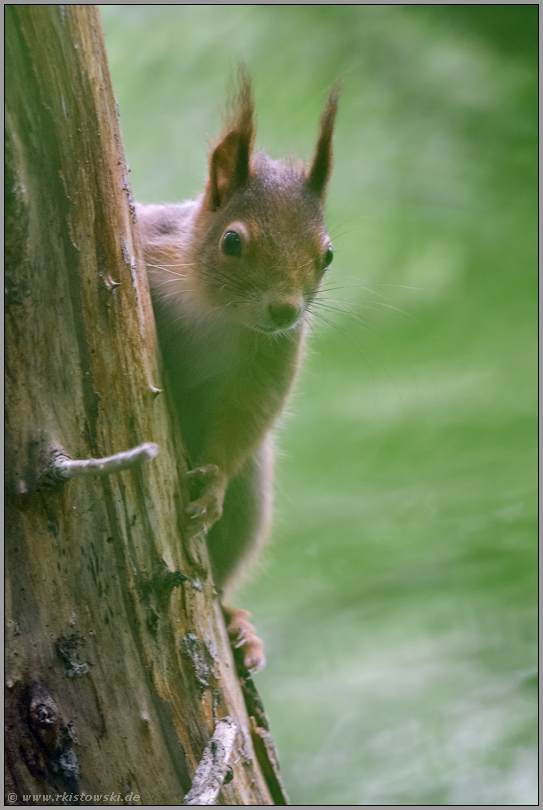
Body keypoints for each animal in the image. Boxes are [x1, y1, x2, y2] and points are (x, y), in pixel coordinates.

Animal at [136, 69, 338, 672]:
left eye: (328, 255)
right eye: (231, 241)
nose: (285, 309)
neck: (218, 310)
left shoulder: (276, 353)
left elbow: (250, 412)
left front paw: (212, 486)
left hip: (253, 497)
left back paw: (236, 625)